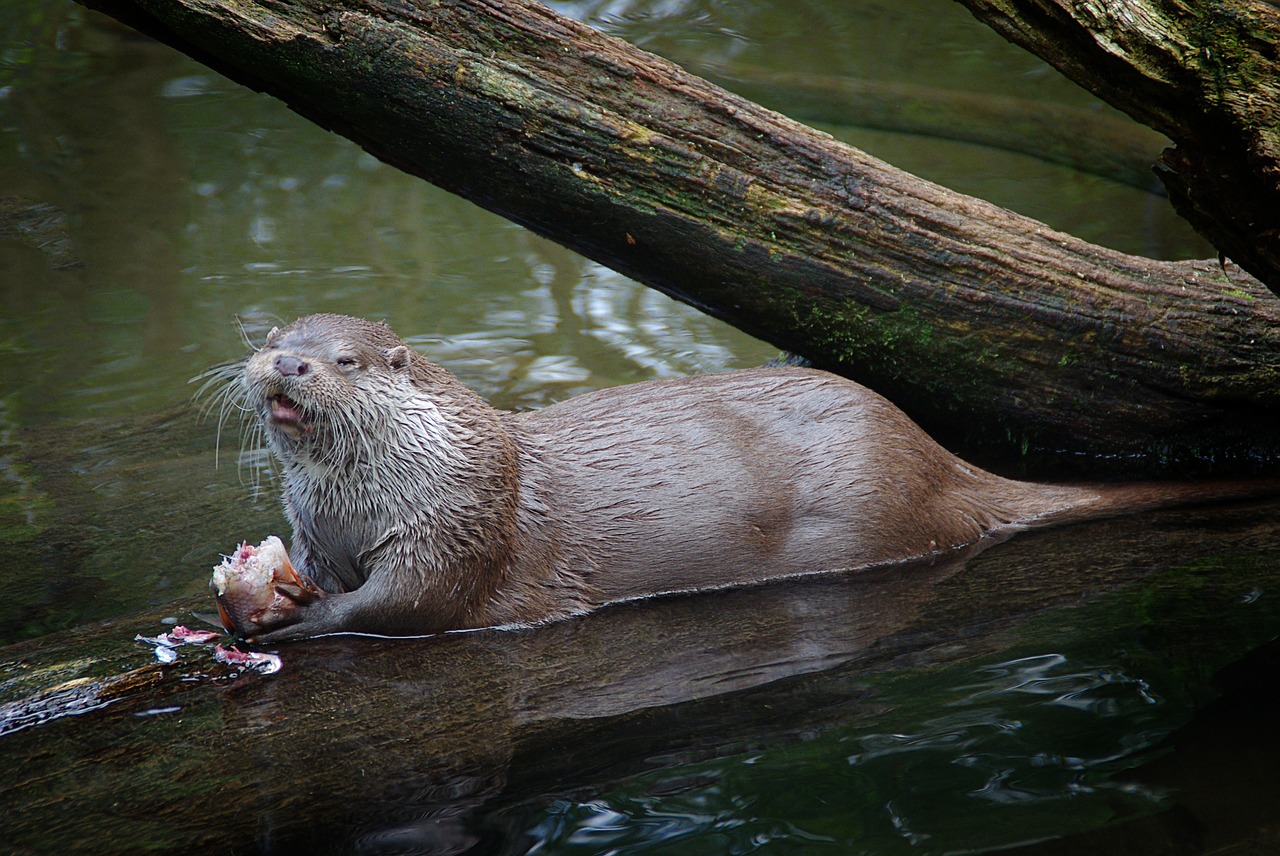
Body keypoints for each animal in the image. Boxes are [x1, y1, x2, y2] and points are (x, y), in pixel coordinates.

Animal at [215, 313, 1264, 639]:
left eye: (345, 360)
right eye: (270, 337)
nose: (288, 364)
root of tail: (936, 458)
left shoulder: (459, 521)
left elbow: (405, 605)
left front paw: (301, 617)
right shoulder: (318, 532)